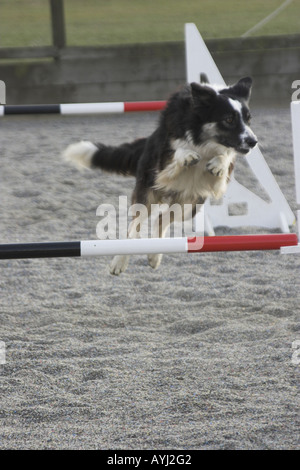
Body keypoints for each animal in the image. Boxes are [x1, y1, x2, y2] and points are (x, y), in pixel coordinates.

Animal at [63, 77, 255, 274]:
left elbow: (224, 158)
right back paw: (119, 261)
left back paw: (154, 256)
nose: (253, 142)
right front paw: (186, 156)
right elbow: (177, 152)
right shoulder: (163, 162)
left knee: (162, 219)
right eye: (229, 119)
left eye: (249, 119)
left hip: (189, 204)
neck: (199, 132)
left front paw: (218, 163)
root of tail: (147, 140)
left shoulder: (214, 180)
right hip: (147, 193)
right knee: (134, 227)